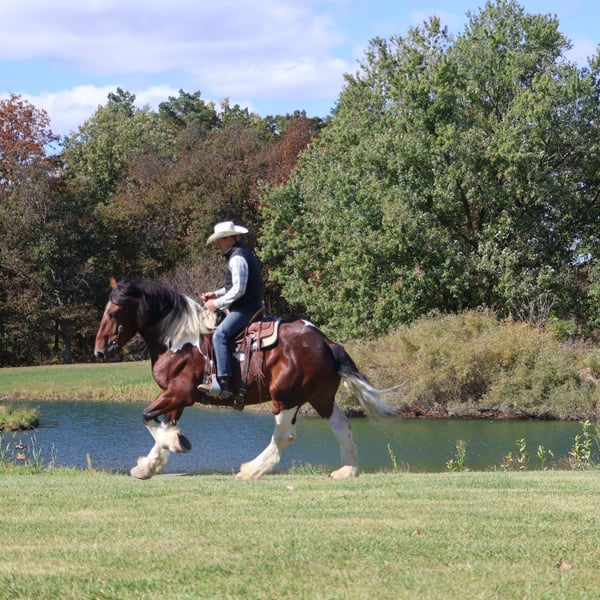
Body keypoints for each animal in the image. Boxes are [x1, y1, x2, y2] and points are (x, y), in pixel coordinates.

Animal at [94, 276, 400, 480]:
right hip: (320, 397)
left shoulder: (179, 393)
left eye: (113, 312)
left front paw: (176, 443)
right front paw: (152, 462)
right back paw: (347, 470)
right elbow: (163, 425)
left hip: (286, 397)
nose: (99, 350)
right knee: (342, 426)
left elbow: (147, 416)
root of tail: (326, 342)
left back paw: (251, 469)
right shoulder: (175, 397)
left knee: (284, 435)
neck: (180, 339)